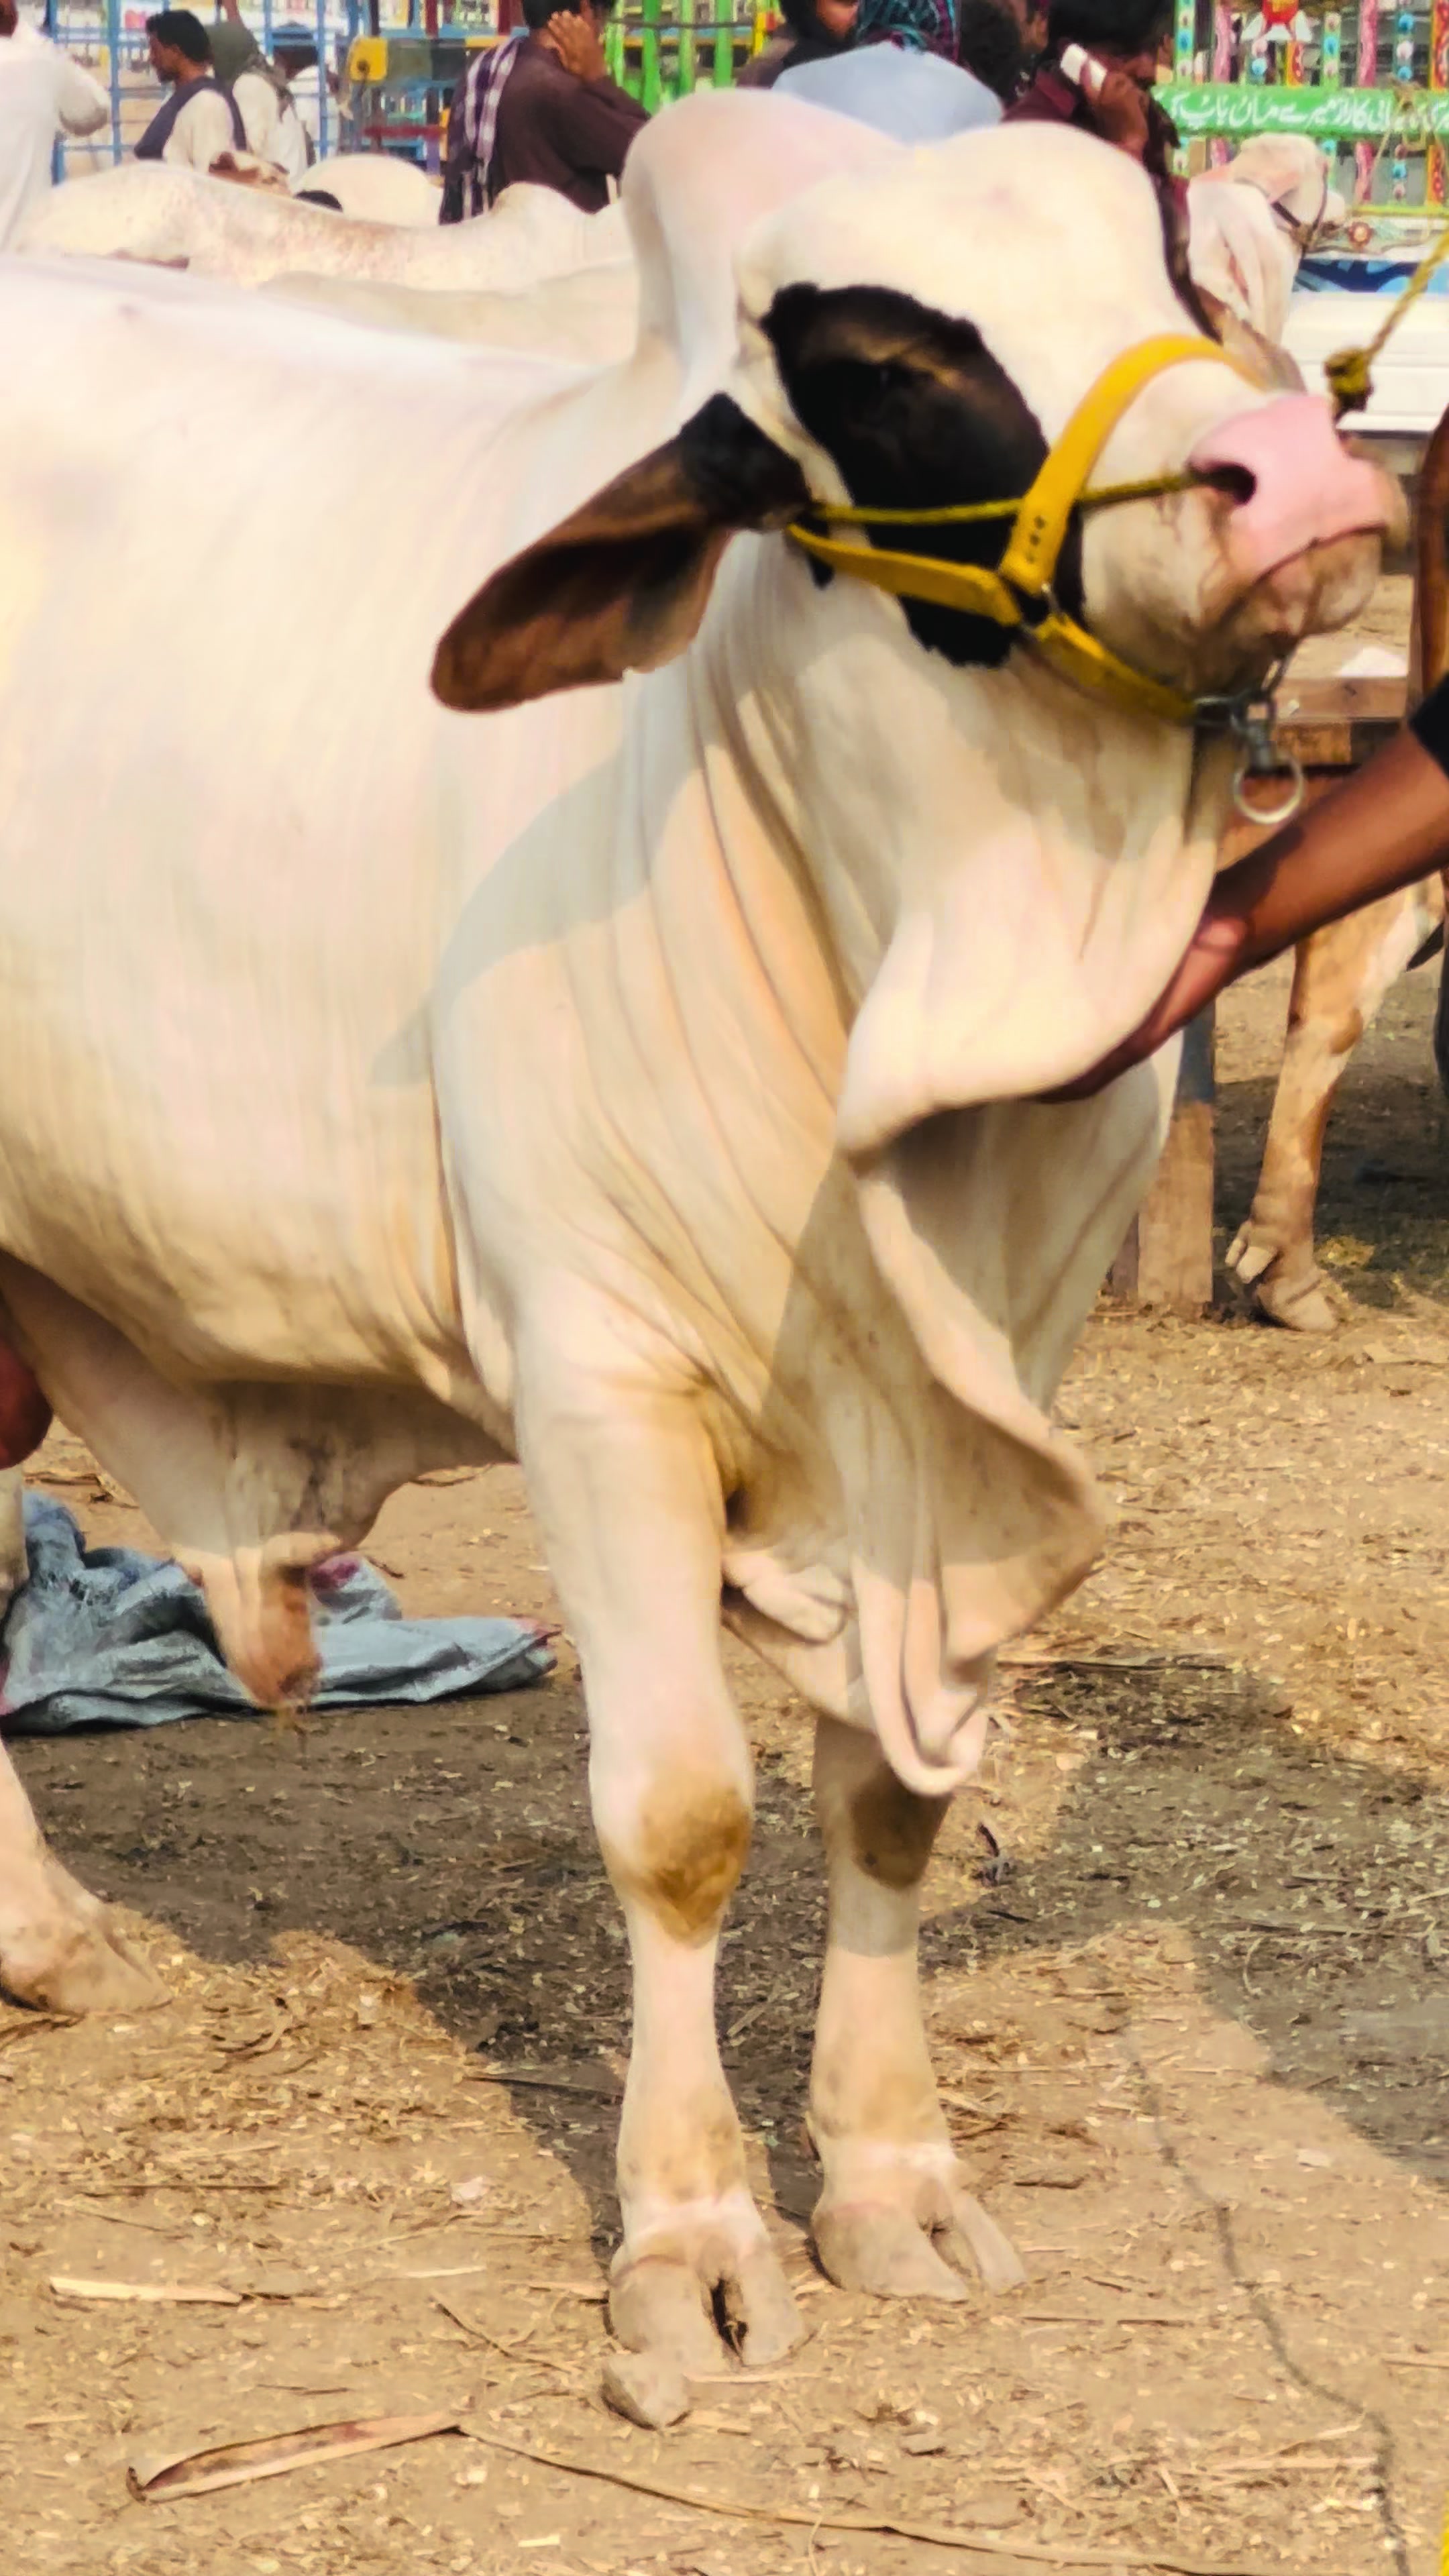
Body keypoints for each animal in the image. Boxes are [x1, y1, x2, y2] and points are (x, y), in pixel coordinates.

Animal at [0, 95, 1396, 2376]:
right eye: (885, 362)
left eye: (1183, 265)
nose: (1297, 480)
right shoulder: (598, 1379)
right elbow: (680, 1817)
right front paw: (693, 2235)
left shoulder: (975, 1403)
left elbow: (895, 1795)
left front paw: (896, 2182)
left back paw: (48, 1942)